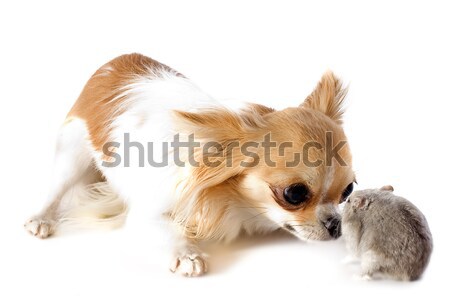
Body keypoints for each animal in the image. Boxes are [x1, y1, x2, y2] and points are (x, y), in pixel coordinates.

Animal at [24, 53, 356, 276]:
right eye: (294, 194)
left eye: (348, 191)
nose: (336, 224)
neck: (230, 200)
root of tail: (111, 65)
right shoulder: (149, 213)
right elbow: (171, 230)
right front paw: (187, 254)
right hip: (73, 151)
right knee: (56, 188)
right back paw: (41, 218)